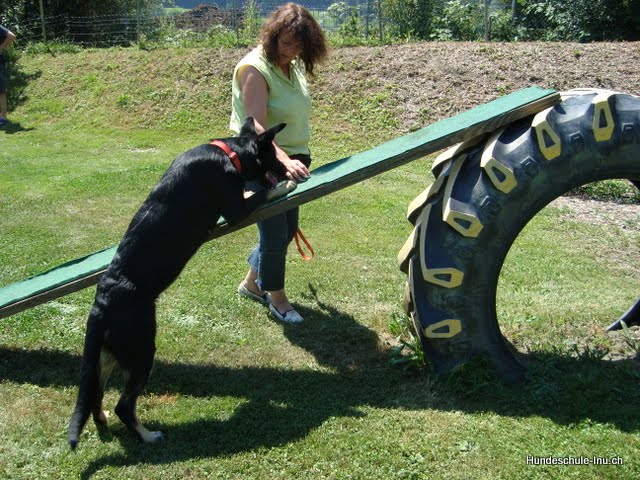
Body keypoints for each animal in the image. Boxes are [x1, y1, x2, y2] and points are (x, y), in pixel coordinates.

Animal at [67, 117, 296, 449]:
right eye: (274, 156)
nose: (288, 170)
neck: (230, 154)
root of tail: (102, 302)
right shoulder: (236, 209)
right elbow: (260, 195)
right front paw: (284, 186)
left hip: (110, 356)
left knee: (96, 396)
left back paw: (104, 424)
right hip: (142, 350)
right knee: (124, 405)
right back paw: (148, 436)